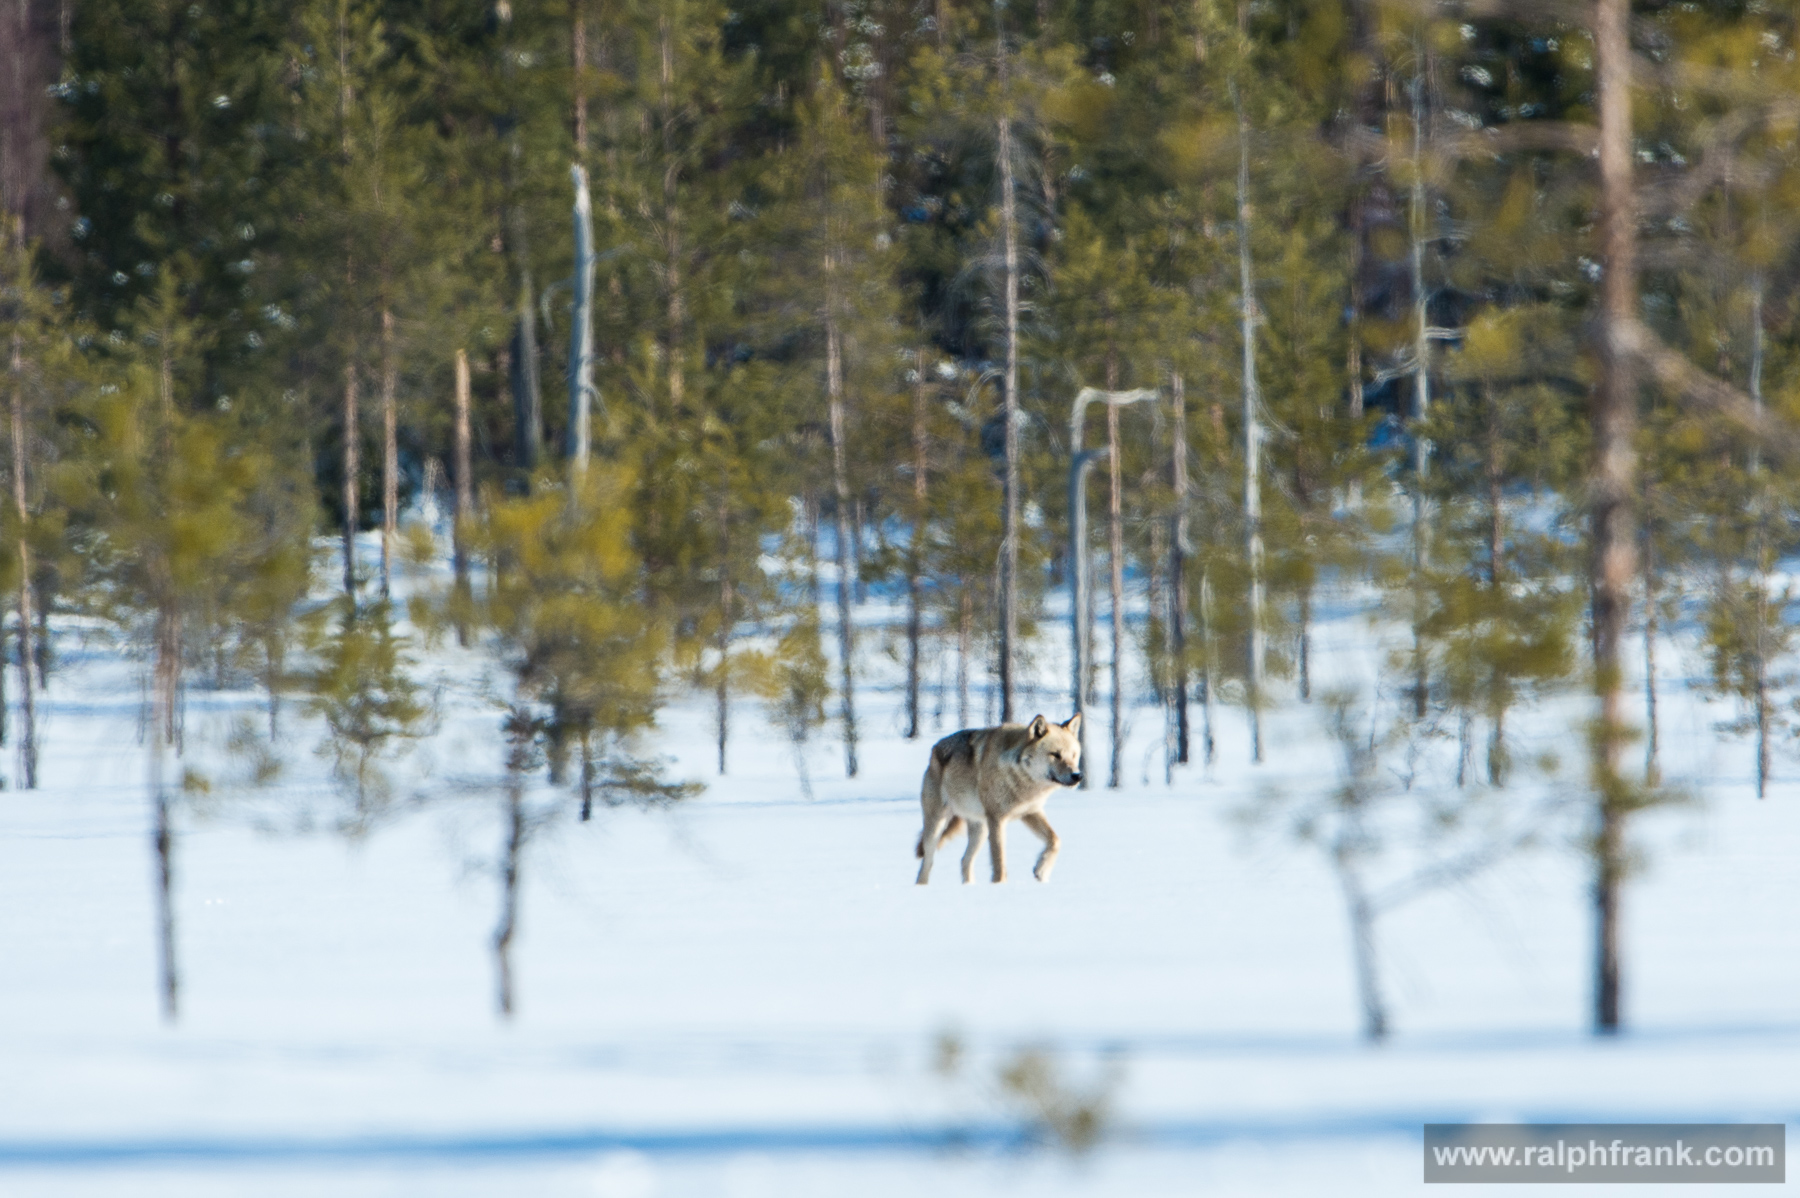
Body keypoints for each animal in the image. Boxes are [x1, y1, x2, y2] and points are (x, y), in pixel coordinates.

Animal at [913, 713, 1084, 885]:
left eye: (1074, 755)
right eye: (1055, 755)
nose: (1078, 775)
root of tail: (935, 748)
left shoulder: (1031, 812)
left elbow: (1056, 841)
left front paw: (1041, 871)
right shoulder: (997, 819)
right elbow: (1000, 863)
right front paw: (1000, 884)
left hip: (980, 830)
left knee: (964, 860)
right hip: (937, 826)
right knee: (927, 863)